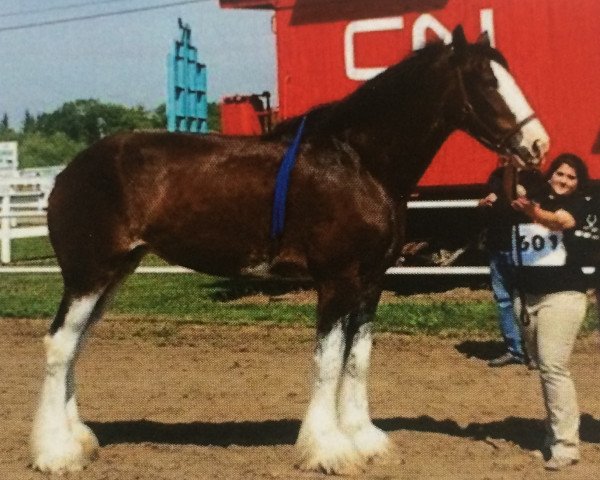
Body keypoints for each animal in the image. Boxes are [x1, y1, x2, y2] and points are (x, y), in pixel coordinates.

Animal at [31, 27, 548, 476]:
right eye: (486, 82)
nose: (537, 144)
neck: (358, 162)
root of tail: (70, 171)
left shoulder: (371, 283)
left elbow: (358, 358)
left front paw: (366, 439)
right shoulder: (337, 281)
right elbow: (328, 360)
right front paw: (329, 450)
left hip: (115, 274)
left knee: (76, 345)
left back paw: (79, 440)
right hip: (88, 274)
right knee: (59, 345)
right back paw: (55, 453)